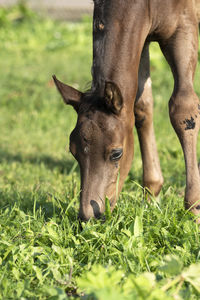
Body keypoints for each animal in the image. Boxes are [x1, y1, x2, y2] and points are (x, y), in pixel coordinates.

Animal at [53, 0, 200, 220]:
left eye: (116, 153)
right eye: (73, 150)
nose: (89, 216)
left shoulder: (183, 26)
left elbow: (183, 108)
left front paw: (194, 208)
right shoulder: (143, 35)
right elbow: (141, 106)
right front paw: (151, 196)